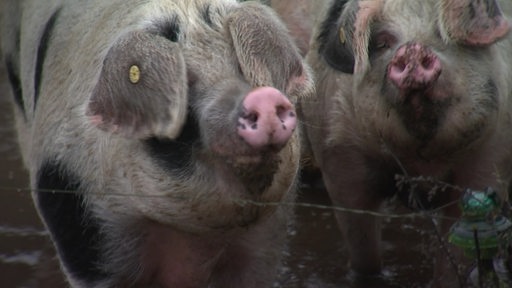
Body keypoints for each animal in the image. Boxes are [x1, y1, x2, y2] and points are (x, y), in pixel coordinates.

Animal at [0, 1, 314, 286]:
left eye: (240, 66)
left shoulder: (269, 233)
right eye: (186, 82)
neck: (196, 234)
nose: (264, 97)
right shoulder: (81, 227)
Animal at [300, 0, 512, 286]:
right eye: (383, 42)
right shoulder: (339, 157)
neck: (421, 161)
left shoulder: (491, 156)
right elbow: (362, 249)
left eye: (442, 34)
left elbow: (455, 253)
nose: (412, 49)